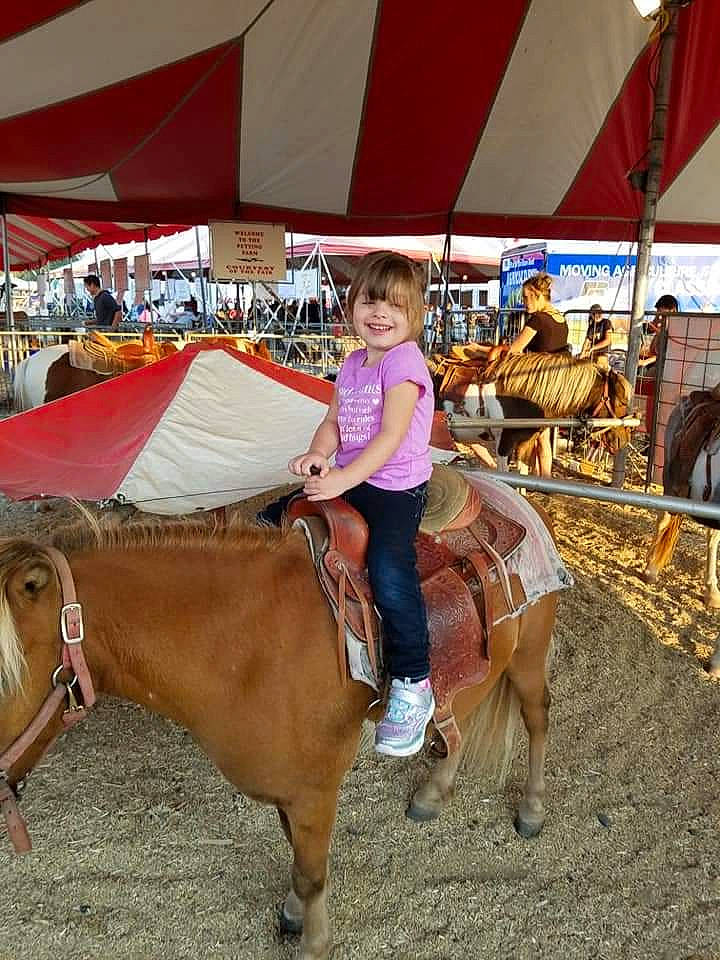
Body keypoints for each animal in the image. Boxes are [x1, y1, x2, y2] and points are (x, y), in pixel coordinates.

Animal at [0, 503, 559, 960]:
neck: (246, 648)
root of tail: (518, 504)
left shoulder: (314, 791)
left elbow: (311, 873)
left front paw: (314, 942)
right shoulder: (289, 789)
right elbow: (295, 856)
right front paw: (293, 913)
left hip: (528, 659)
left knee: (537, 718)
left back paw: (532, 808)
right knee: (459, 718)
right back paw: (434, 792)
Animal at [643, 391, 720, 676]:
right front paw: (716, 662)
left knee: (711, 538)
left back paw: (711, 590)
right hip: (670, 482)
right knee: (664, 519)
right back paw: (651, 570)